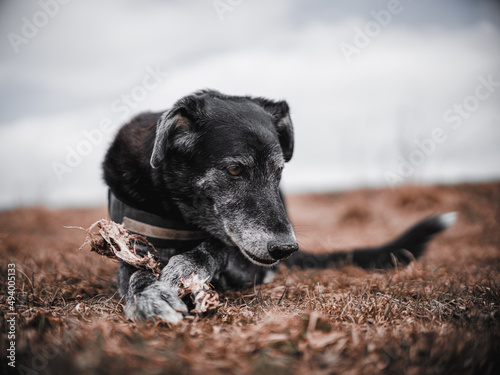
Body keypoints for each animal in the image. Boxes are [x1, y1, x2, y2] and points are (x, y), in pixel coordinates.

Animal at [102, 90, 458, 324]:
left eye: (279, 171)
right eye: (235, 170)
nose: (286, 248)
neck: (180, 213)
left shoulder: (245, 259)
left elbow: (216, 247)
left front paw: (187, 267)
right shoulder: (129, 243)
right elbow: (136, 273)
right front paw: (150, 295)